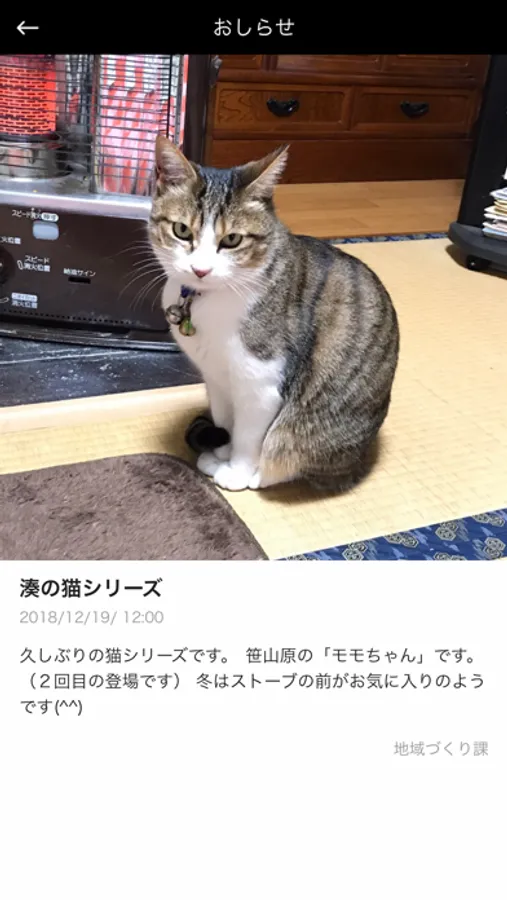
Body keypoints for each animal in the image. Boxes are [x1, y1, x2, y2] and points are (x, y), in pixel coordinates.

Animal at [149, 137, 399, 493]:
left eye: (232, 239)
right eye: (182, 230)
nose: (200, 270)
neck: (208, 302)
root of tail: (358, 463)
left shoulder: (261, 383)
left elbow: (248, 437)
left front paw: (235, 470)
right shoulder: (217, 378)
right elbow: (225, 419)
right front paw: (221, 451)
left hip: (305, 435)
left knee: (281, 457)